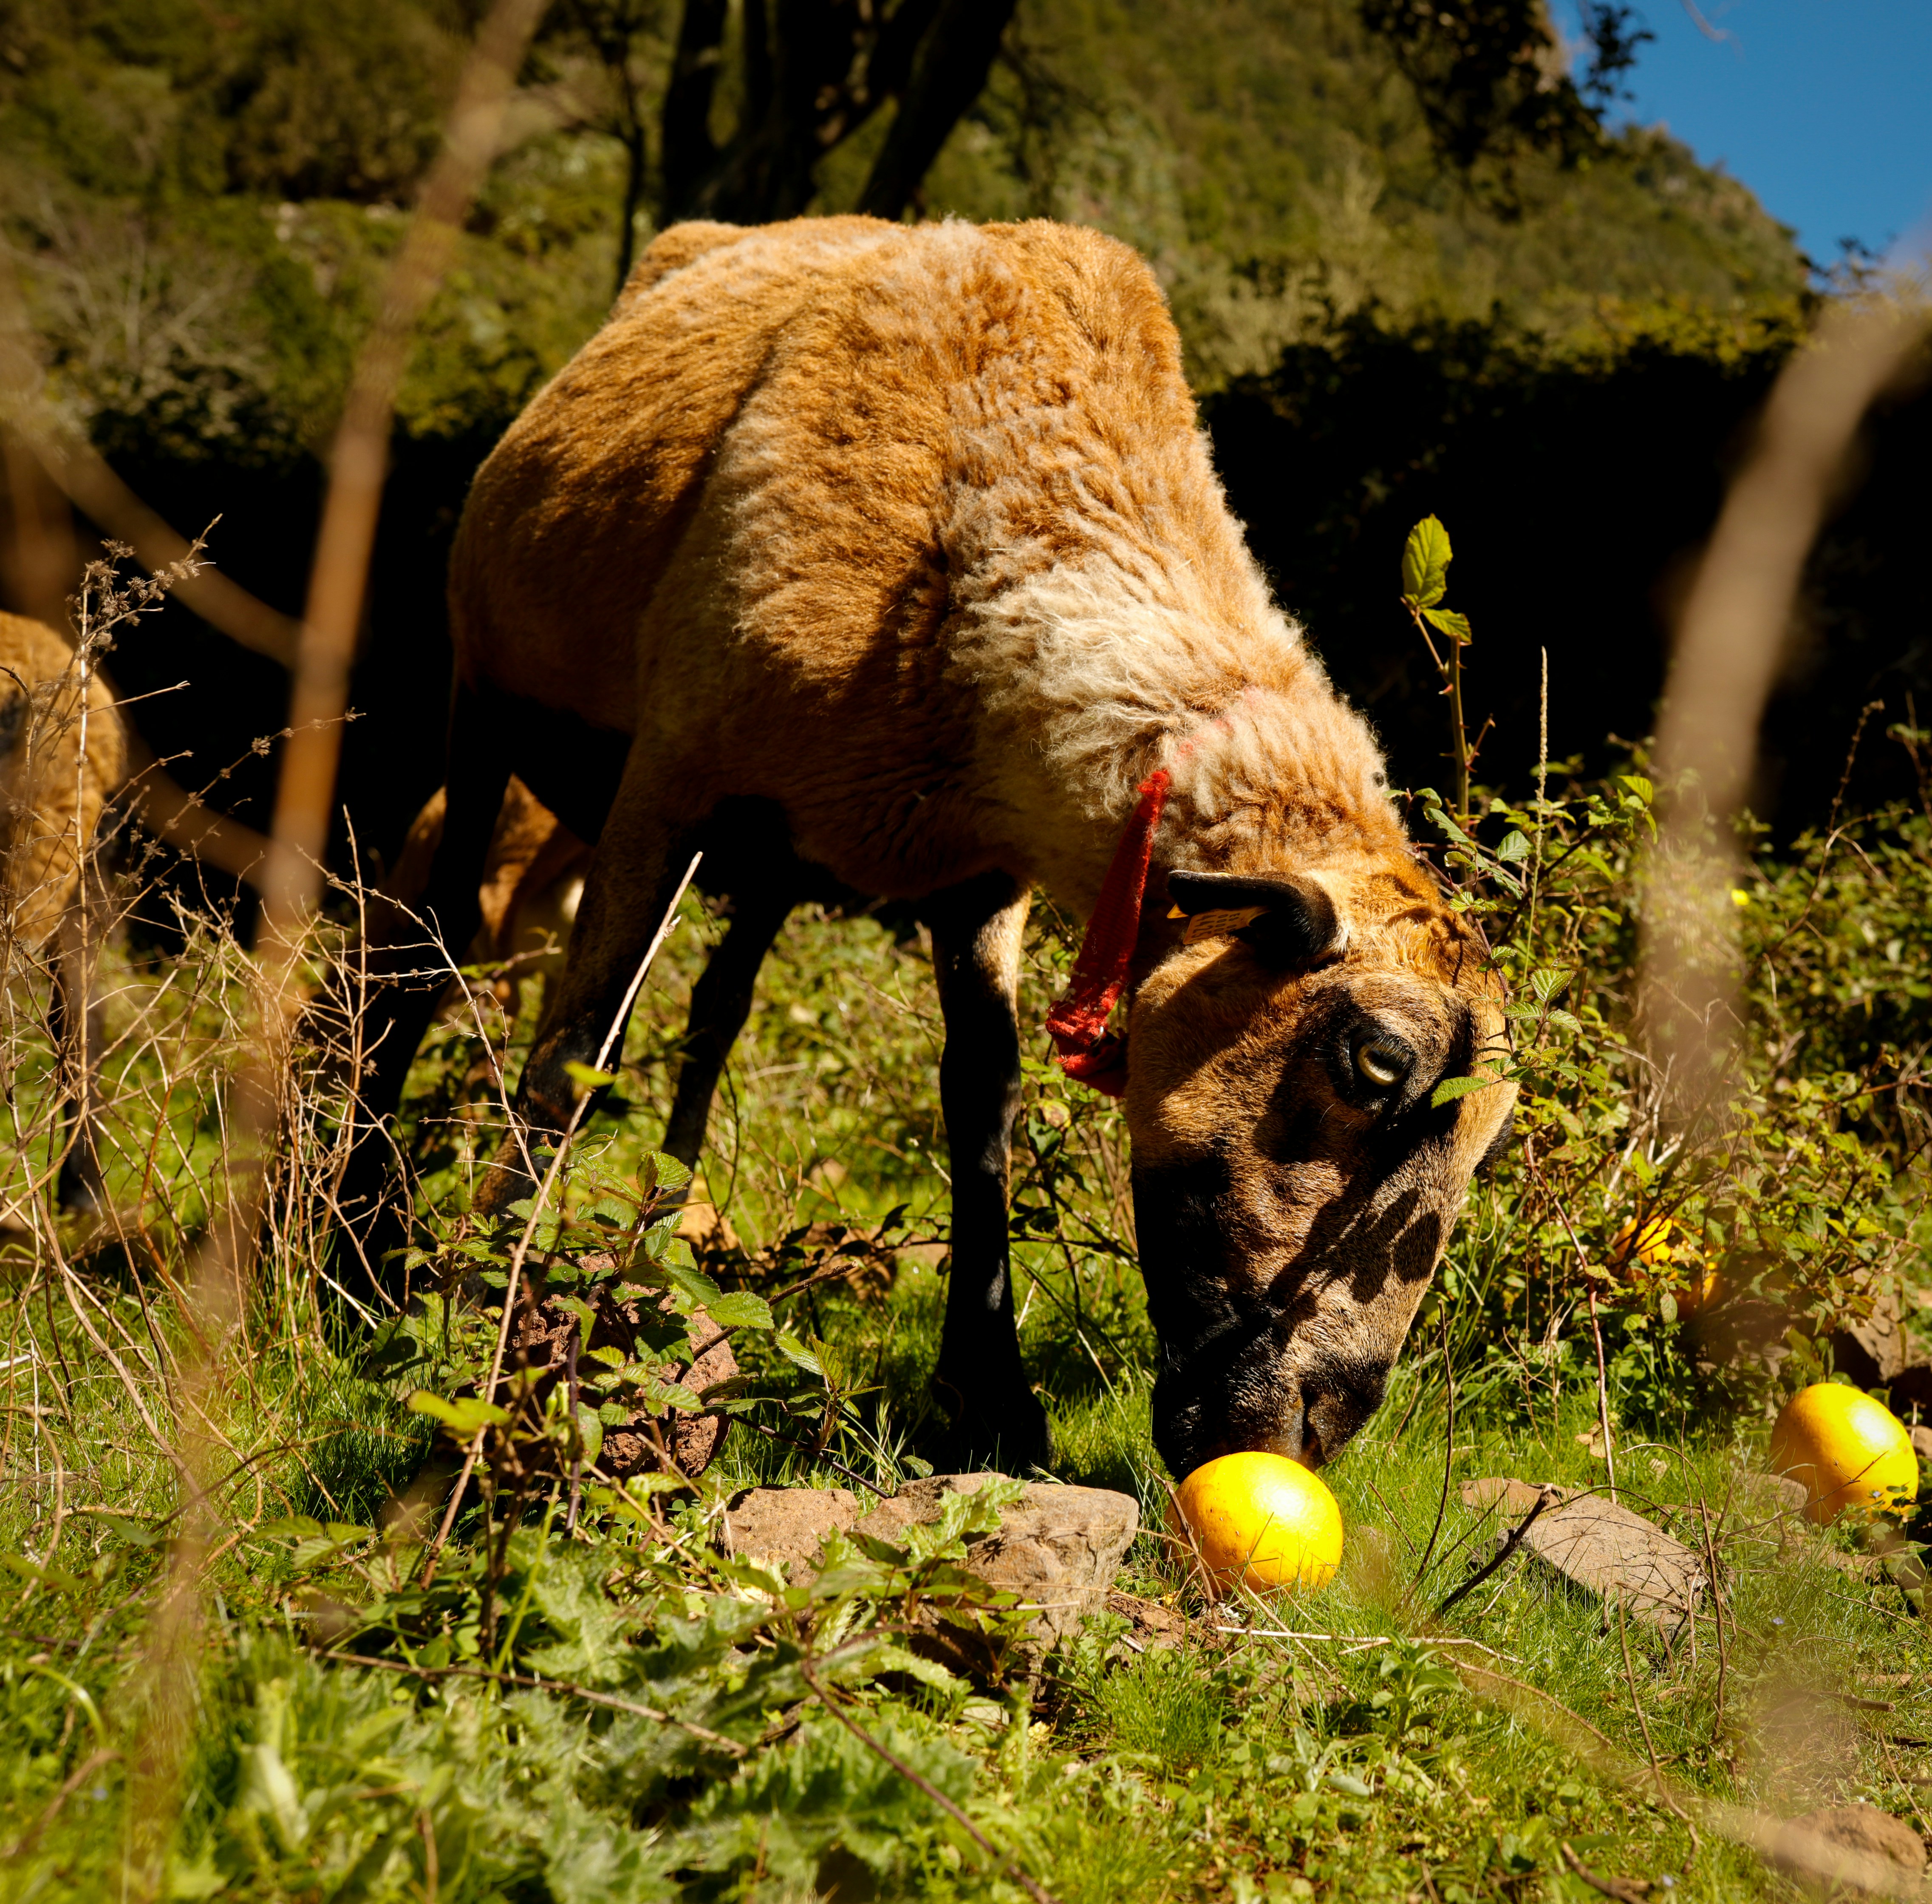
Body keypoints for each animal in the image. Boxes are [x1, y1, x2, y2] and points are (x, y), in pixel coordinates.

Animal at [340, 216, 1517, 1477]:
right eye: (1374, 1064)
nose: (1310, 1431)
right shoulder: (667, 782)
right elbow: (576, 1052)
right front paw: (494, 1333)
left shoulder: (979, 875)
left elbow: (981, 1099)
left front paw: (990, 1399)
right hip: (489, 706)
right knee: (427, 945)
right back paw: (362, 1254)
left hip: (766, 856)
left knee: (714, 1014)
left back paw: (657, 1239)